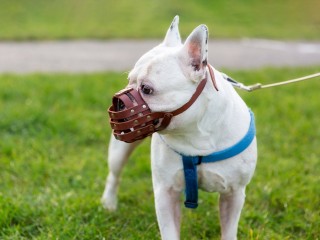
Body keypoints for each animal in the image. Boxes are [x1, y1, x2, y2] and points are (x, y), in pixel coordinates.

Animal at [102, 15, 258, 239]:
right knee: (114, 174)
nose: (119, 103)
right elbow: (170, 232)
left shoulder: (234, 194)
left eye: (146, 89)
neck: (195, 134)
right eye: (129, 80)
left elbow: (229, 231)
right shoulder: (166, 193)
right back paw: (109, 203)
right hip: (120, 150)